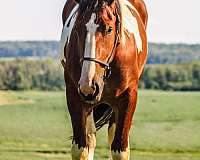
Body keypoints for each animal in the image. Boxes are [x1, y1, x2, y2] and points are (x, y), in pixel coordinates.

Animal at [60, 0, 148, 159]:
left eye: (109, 29)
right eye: (77, 29)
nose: (89, 86)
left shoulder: (128, 98)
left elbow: (120, 150)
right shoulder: (75, 97)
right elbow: (81, 149)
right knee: (90, 138)